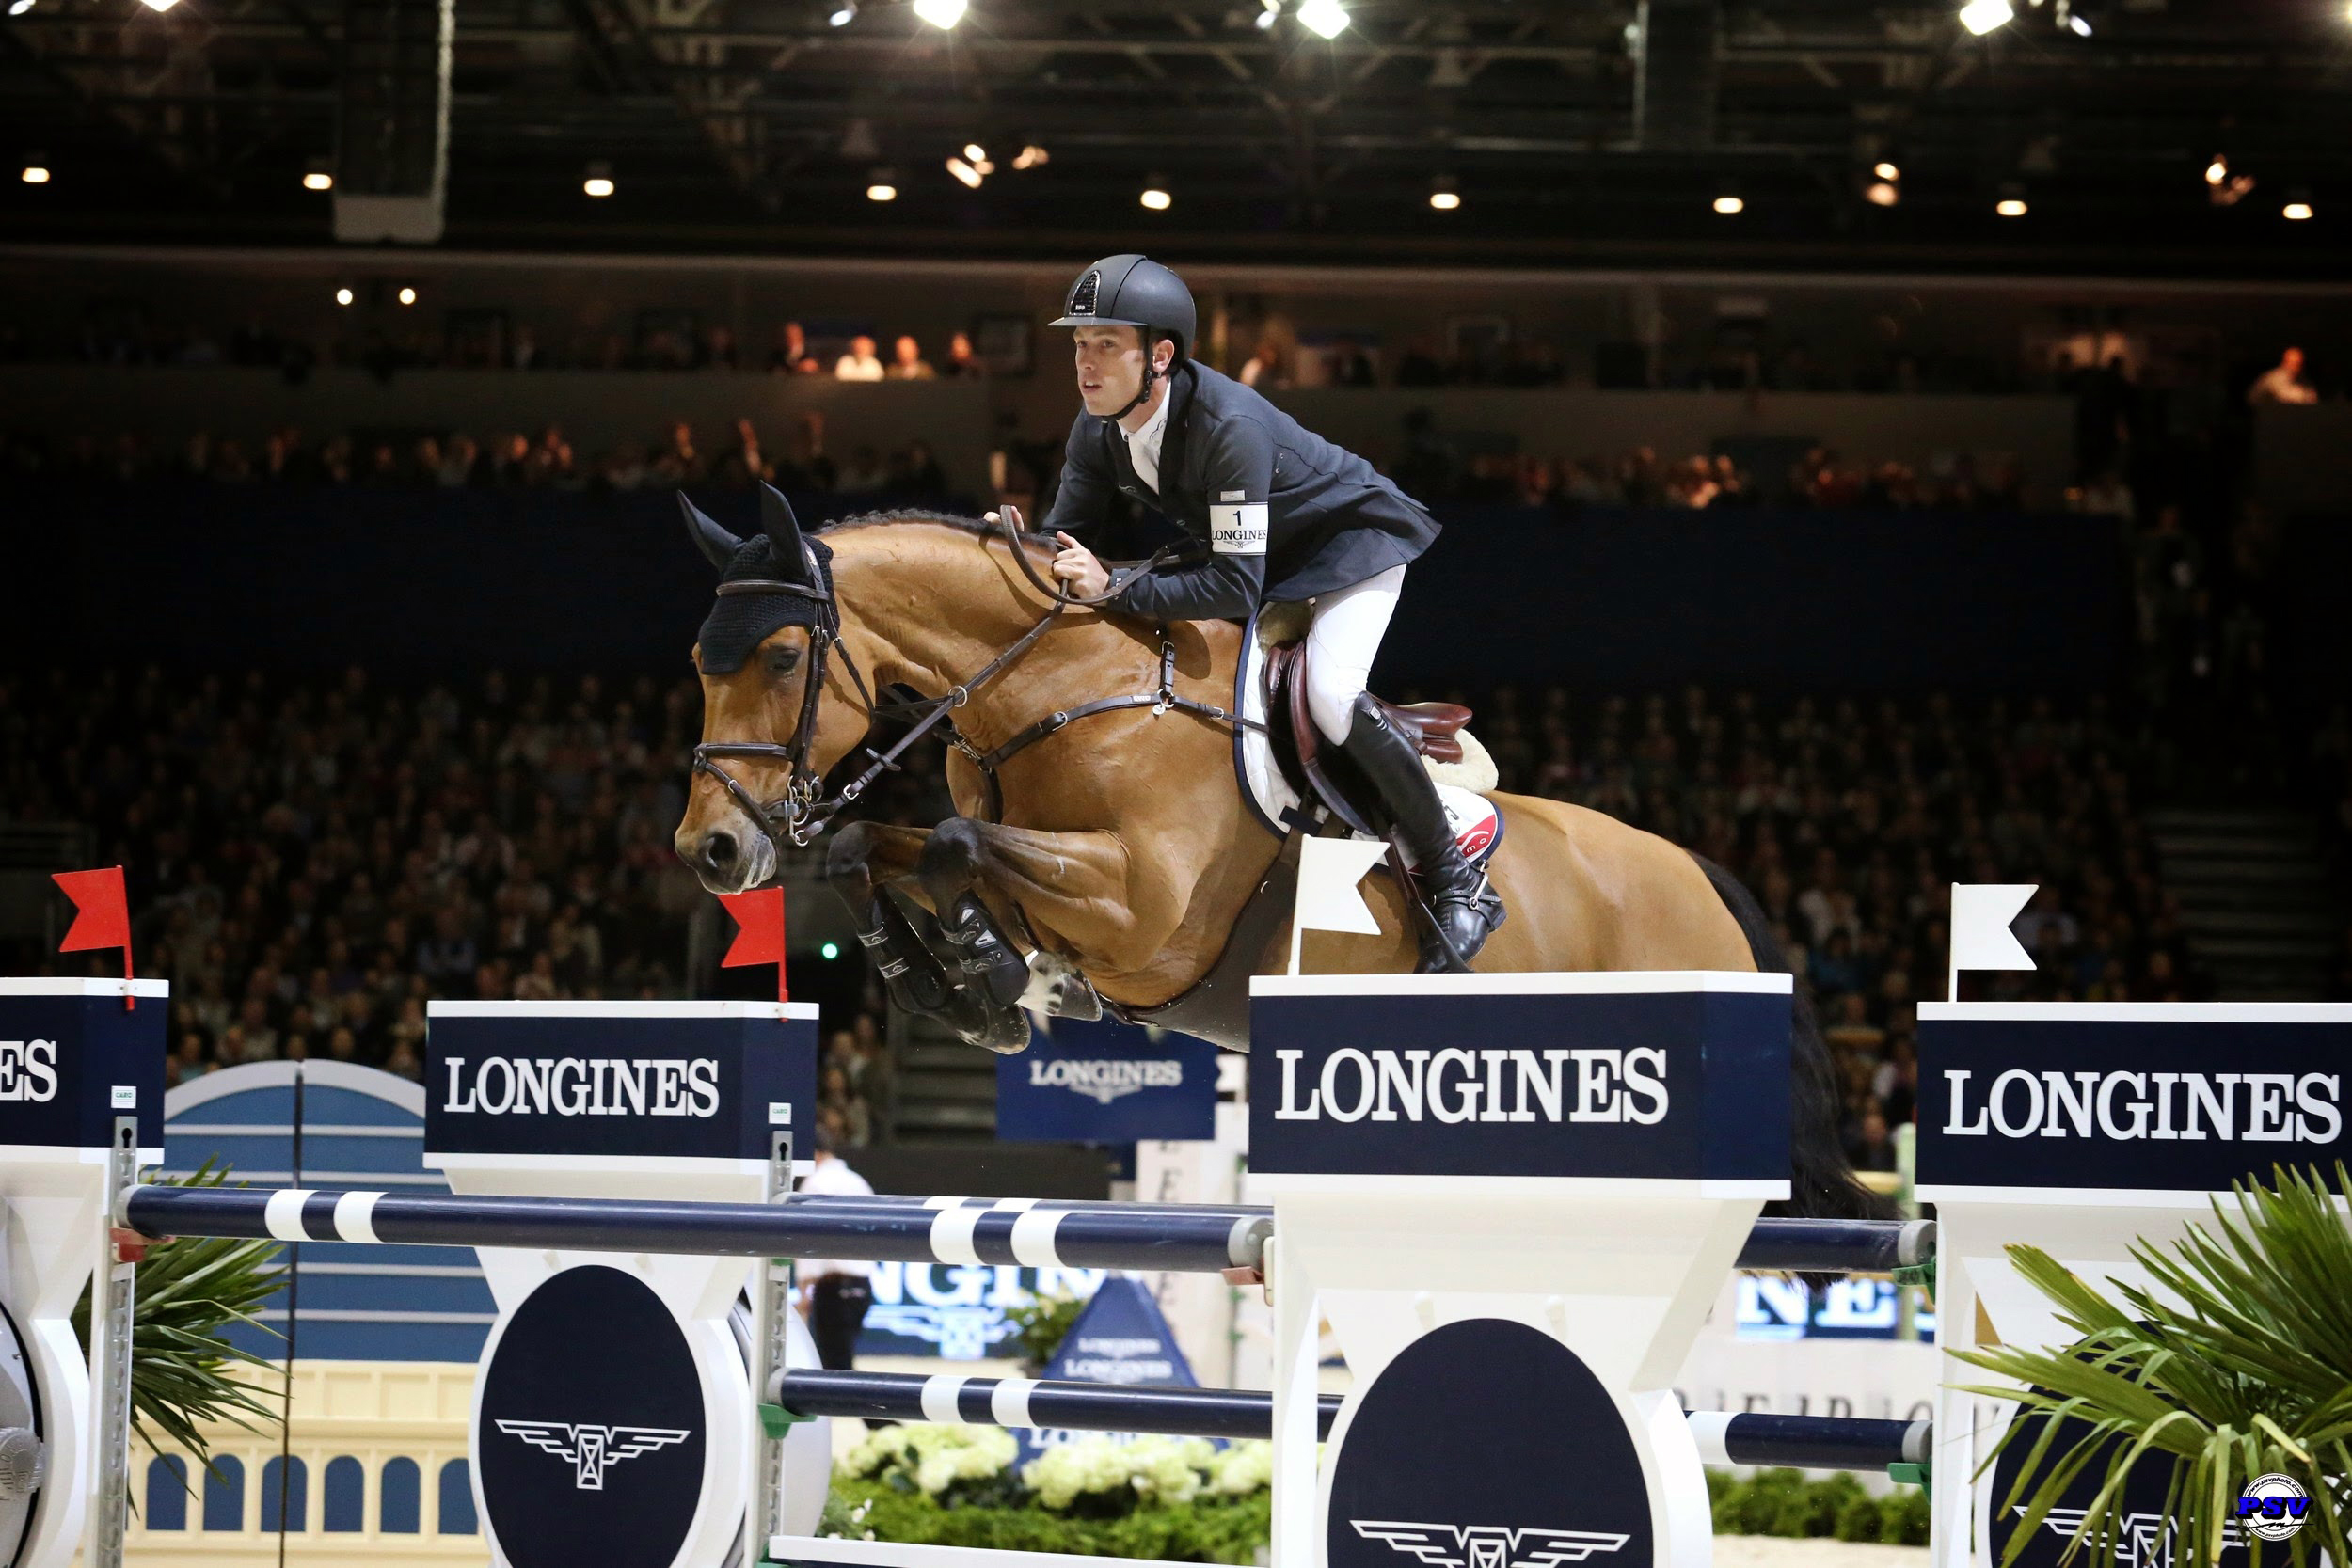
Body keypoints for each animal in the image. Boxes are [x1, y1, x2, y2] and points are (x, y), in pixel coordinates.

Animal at [673, 487, 1884, 1221]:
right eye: (697, 661)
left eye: (782, 656)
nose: (711, 849)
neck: (1057, 690)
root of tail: (1703, 876)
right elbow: (873, 846)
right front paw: (966, 988)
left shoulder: (1143, 910)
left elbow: (960, 848)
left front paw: (995, 977)